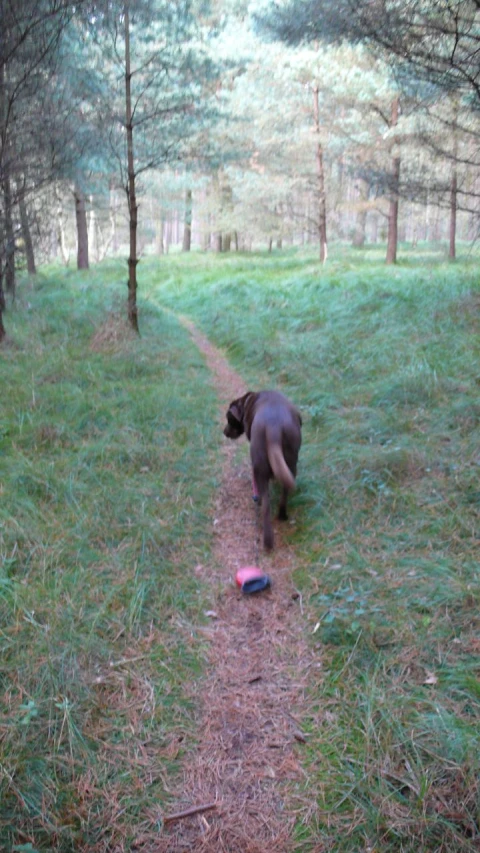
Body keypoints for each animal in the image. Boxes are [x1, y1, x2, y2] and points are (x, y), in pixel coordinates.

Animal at [223, 390, 302, 548]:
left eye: (229, 419)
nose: (224, 432)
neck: (248, 401)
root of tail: (274, 428)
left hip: (259, 466)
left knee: (265, 505)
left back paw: (267, 540)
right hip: (291, 462)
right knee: (284, 493)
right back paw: (282, 515)